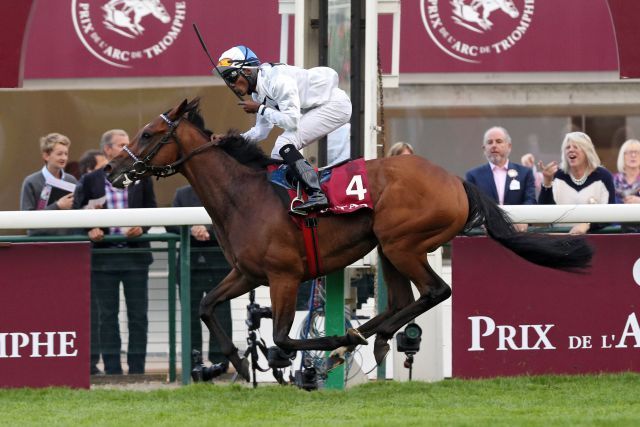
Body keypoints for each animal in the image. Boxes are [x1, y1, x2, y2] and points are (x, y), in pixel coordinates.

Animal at [104, 99, 592, 382]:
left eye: (148, 134)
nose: (111, 170)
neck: (243, 195)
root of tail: (456, 180)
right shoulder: (247, 272)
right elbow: (206, 304)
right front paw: (238, 363)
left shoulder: (283, 275)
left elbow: (283, 338)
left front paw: (310, 354)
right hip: (390, 248)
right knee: (403, 301)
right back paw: (365, 337)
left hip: (403, 243)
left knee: (436, 290)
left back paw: (351, 341)